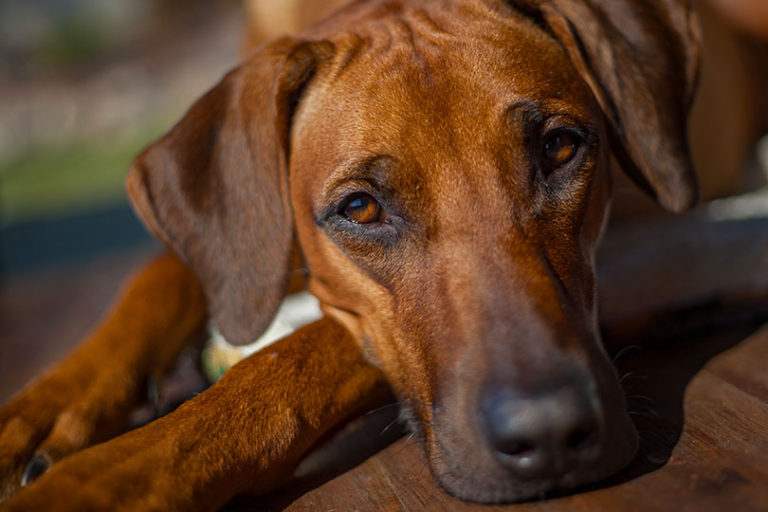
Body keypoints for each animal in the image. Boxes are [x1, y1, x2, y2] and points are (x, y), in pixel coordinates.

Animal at [0, 0, 764, 508]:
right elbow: (164, 273)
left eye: (560, 148)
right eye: (361, 208)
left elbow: (300, 352)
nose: (549, 434)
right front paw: (37, 414)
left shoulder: (654, 237)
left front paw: (106, 479)